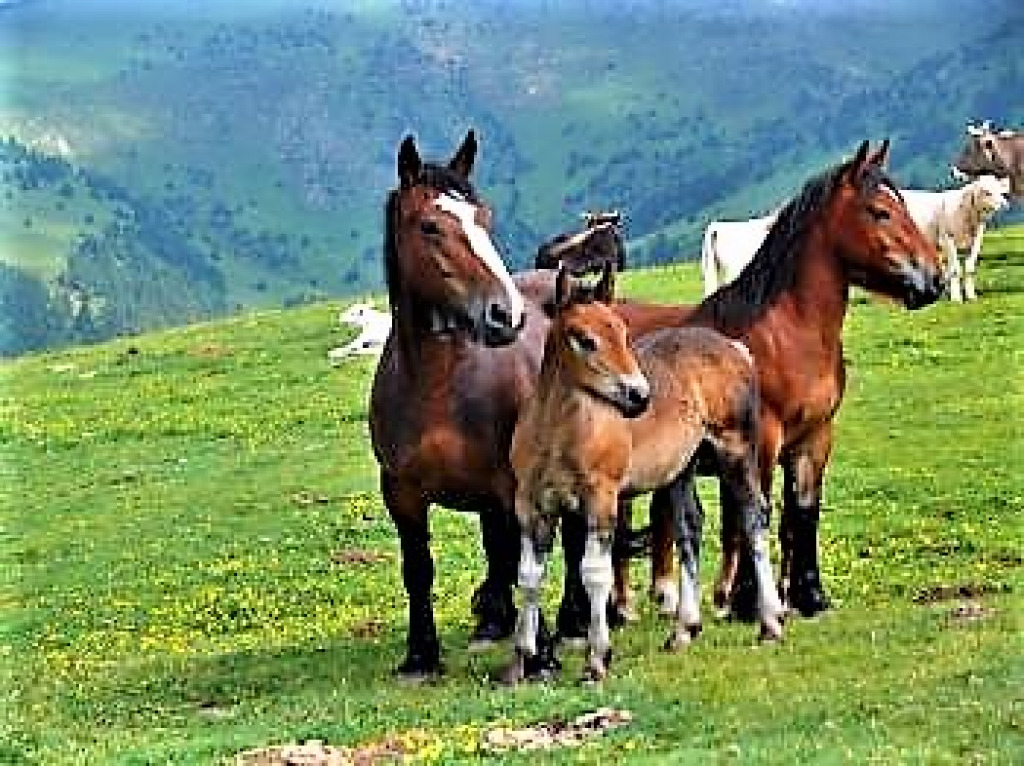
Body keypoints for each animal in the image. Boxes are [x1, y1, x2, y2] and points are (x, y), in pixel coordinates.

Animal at [505, 264, 785, 684]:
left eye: (623, 333)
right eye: (585, 340)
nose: (639, 396)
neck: (557, 431)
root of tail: (735, 348)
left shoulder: (602, 498)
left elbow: (594, 573)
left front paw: (597, 659)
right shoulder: (532, 505)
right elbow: (528, 575)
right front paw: (520, 662)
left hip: (736, 451)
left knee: (754, 517)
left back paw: (770, 624)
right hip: (682, 469)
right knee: (690, 528)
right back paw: (683, 631)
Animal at [605, 140, 945, 626]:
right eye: (879, 211)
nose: (934, 279)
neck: (785, 335)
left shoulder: (815, 439)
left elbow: (802, 513)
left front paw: (809, 596)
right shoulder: (763, 439)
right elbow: (756, 511)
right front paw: (752, 602)